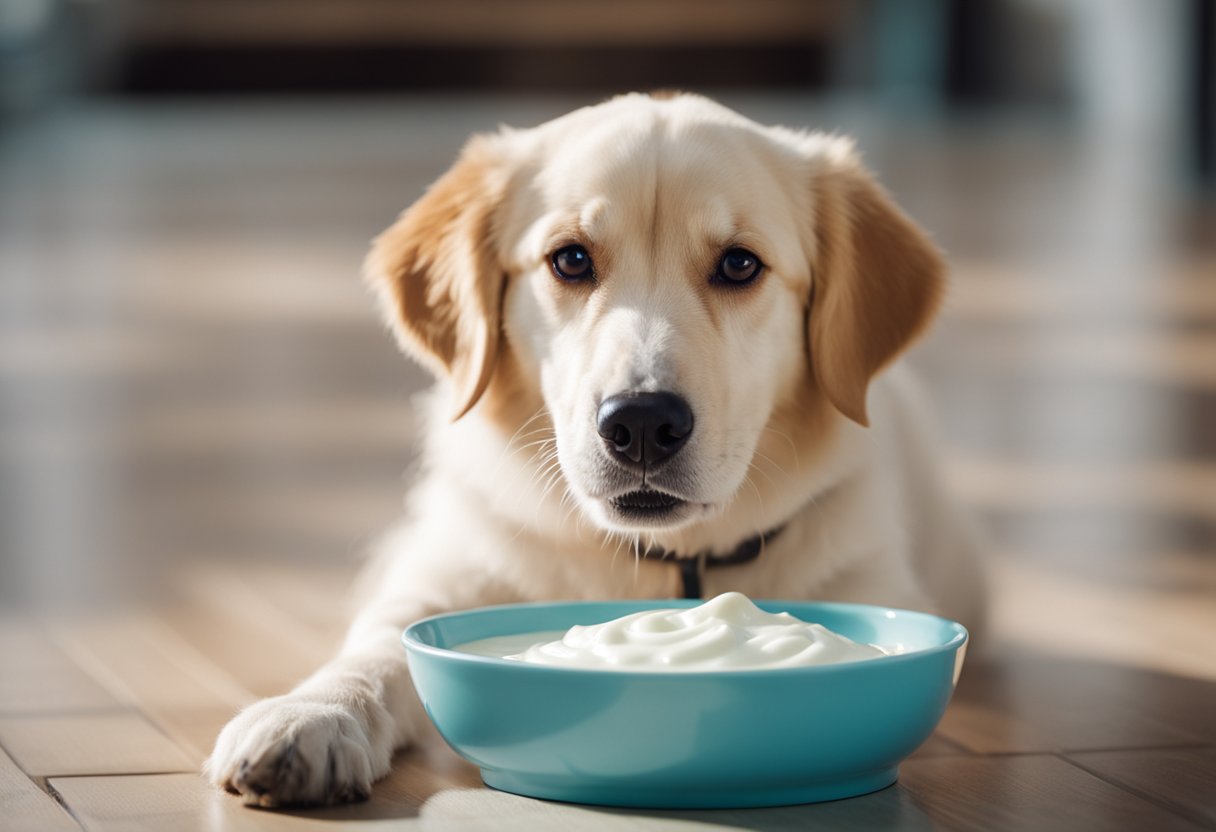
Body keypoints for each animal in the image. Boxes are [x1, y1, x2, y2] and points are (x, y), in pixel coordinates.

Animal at [204, 91, 982, 807]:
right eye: (571, 259)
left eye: (739, 265)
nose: (641, 424)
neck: (659, 564)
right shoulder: (443, 575)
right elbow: (378, 647)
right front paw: (312, 714)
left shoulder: (868, 583)